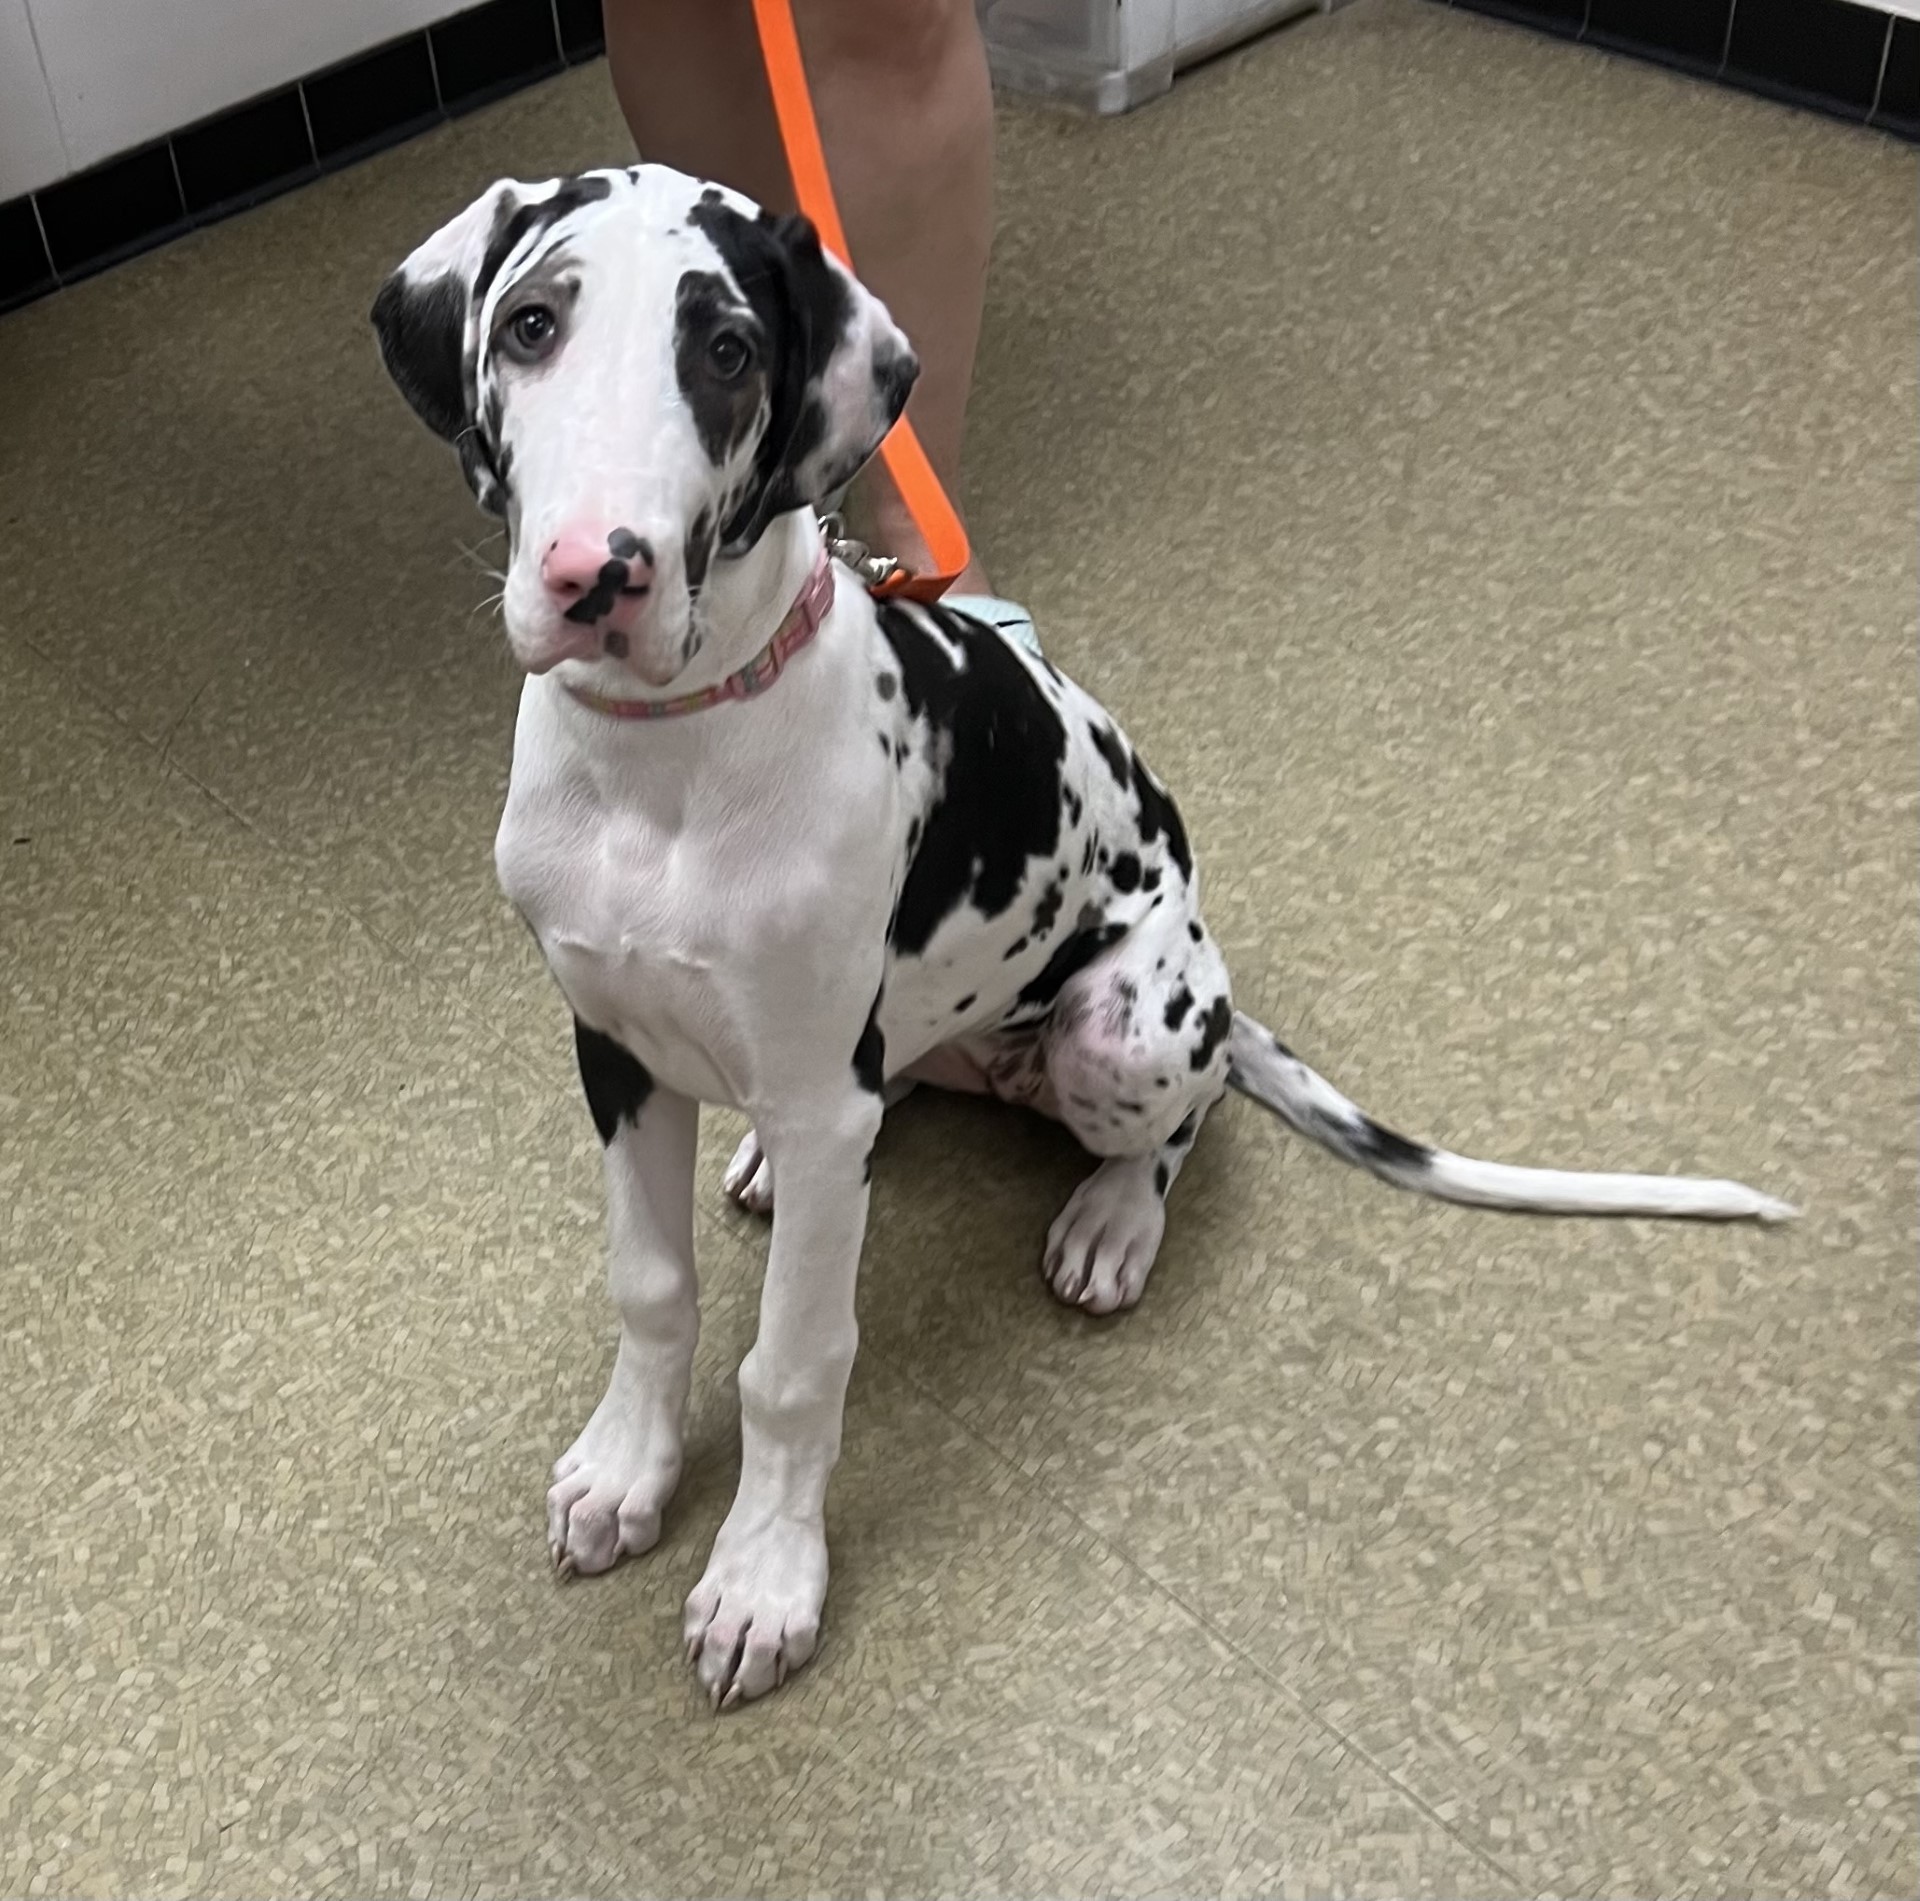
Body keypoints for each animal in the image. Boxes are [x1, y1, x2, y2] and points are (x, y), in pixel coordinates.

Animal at [378, 167, 1797, 1712]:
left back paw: (1115, 1217)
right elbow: (650, 1287)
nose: (598, 573)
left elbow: (793, 1366)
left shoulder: (818, 1104)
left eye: (730, 352)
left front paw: (762, 1577)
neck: (669, 757)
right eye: (531, 323)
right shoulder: (615, 1046)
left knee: (1179, 1114)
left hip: (1124, 1028)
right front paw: (627, 1472)